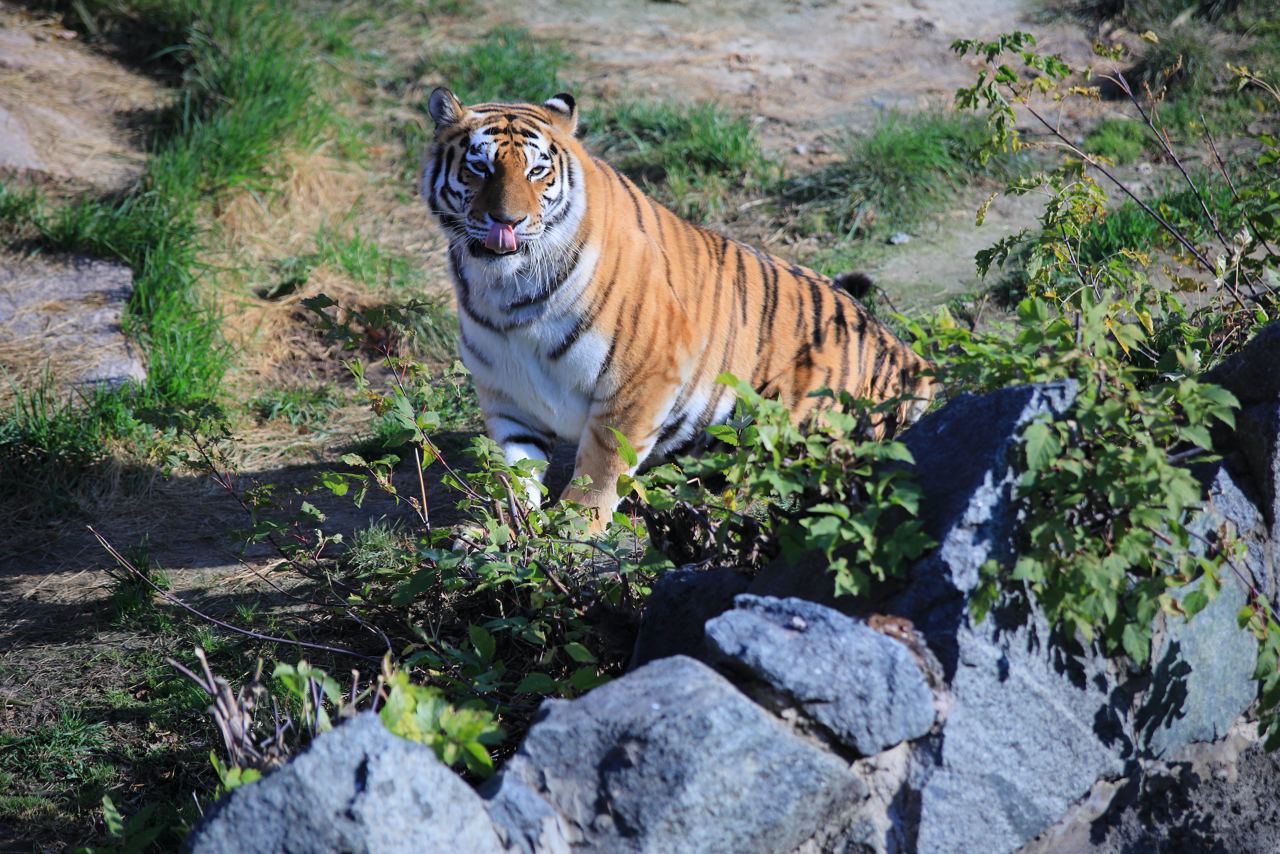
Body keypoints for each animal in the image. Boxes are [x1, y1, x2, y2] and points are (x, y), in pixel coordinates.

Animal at [424, 87, 936, 527]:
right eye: (479, 168)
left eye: (536, 171)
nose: (507, 221)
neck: (506, 291)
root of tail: (909, 358)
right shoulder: (508, 395)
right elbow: (512, 473)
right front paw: (501, 531)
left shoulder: (646, 373)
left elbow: (602, 464)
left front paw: (574, 529)